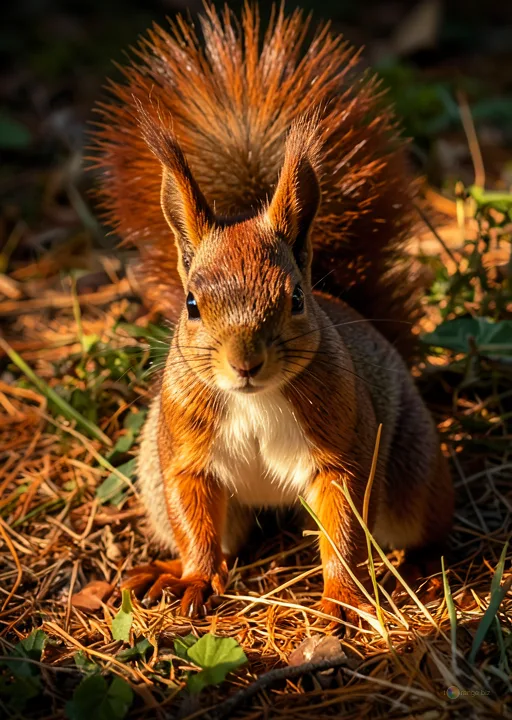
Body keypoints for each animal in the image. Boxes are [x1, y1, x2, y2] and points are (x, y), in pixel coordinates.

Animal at [94, 3, 454, 623]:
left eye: (295, 299)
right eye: (192, 305)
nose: (245, 364)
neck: (254, 402)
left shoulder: (342, 449)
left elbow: (344, 527)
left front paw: (341, 598)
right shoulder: (184, 451)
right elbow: (194, 516)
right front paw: (194, 580)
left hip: (410, 466)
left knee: (423, 520)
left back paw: (424, 570)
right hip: (158, 480)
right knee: (216, 535)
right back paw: (162, 572)